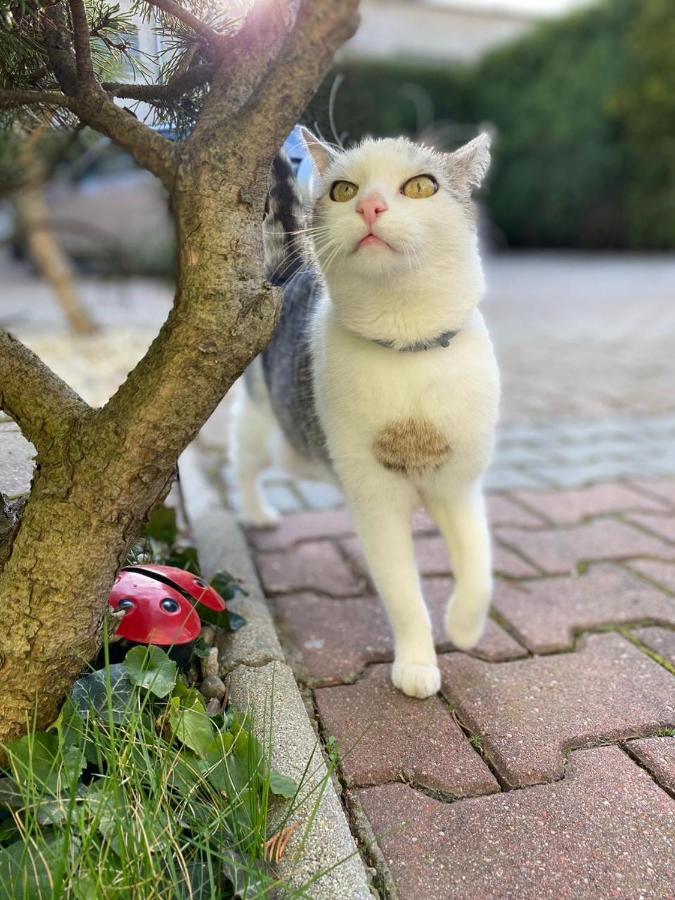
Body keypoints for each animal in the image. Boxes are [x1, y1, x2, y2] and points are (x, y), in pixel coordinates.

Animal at [230, 130, 500, 700]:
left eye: (420, 186)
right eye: (343, 189)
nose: (369, 206)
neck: (407, 344)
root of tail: (288, 269)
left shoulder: (458, 485)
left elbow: (479, 567)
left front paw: (464, 627)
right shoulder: (378, 503)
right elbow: (403, 593)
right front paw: (417, 664)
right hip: (277, 437)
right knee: (243, 465)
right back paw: (257, 512)